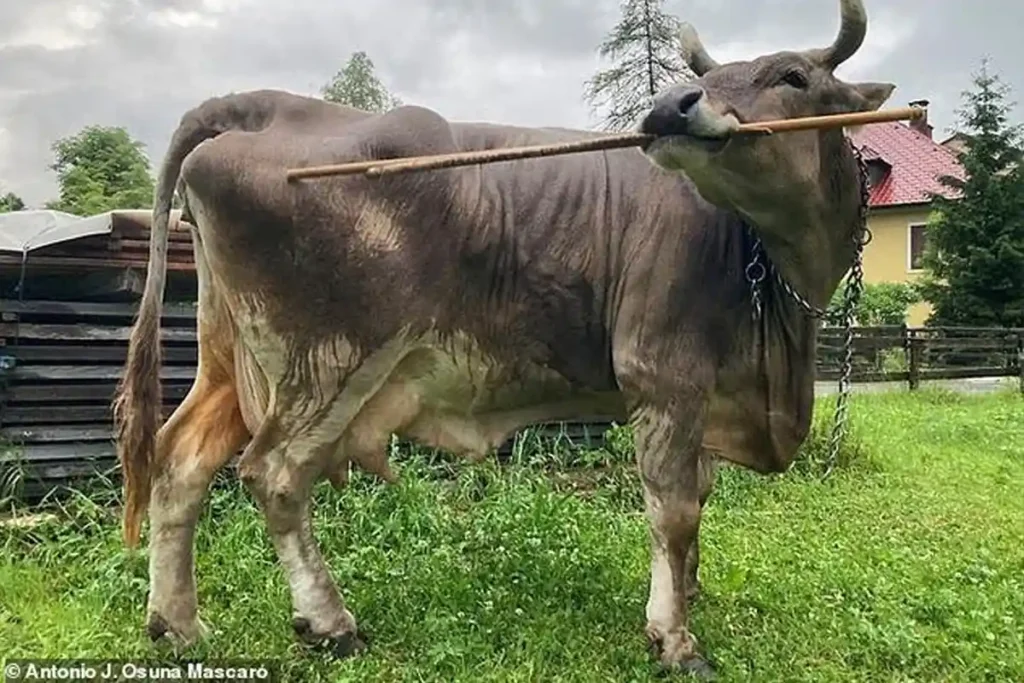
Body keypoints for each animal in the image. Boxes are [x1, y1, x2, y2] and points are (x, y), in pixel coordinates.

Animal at [113, 0, 894, 675]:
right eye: (711, 76)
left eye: (792, 77)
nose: (672, 105)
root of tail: (269, 103)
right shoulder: (663, 376)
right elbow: (672, 513)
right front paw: (675, 637)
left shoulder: (706, 397)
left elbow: (696, 504)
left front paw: (688, 596)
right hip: (329, 361)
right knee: (273, 474)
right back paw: (329, 622)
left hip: (233, 361)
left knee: (180, 463)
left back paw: (178, 623)